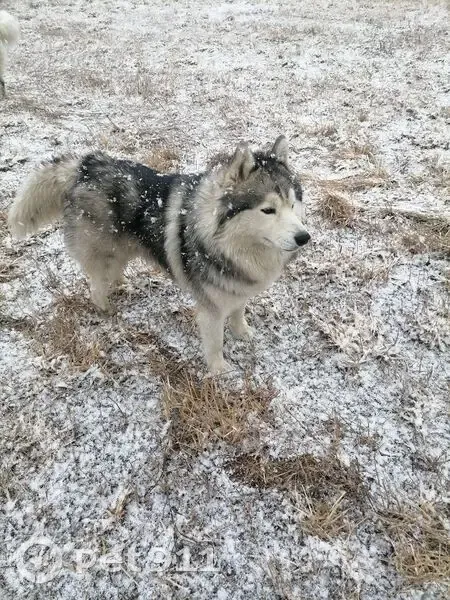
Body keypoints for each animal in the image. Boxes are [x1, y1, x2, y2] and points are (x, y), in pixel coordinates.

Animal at [8, 136, 310, 373]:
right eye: (268, 210)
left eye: (293, 203)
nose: (304, 237)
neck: (227, 242)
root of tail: (86, 165)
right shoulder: (211, 309)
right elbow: (215, 344)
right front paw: (220, 373)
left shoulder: (237, 287)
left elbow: (238, 313)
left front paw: (243, 333)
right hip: (102, 253)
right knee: (96, 286)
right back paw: (107, 310)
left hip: (123, 250)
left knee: (114, 273)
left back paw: (124, 286)